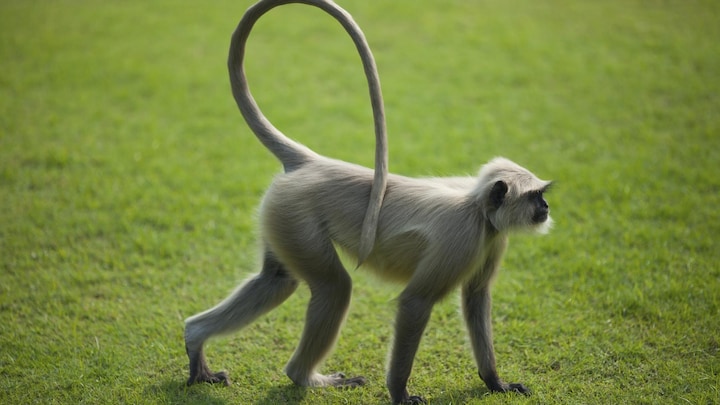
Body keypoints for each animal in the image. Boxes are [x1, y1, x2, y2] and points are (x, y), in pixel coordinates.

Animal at [183, 0, 553, 404]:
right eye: (536, 196)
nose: (546, 209)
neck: (477, 205)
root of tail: (314, 162)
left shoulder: (492, 236)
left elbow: (476, 298)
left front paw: (494, 382)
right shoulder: (464, 238)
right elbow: (415, 303)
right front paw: (400, 392)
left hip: (280, 216)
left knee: (277, 279)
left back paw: (195, 338)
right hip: (297, 217)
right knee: (334, 287)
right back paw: (304, 377)